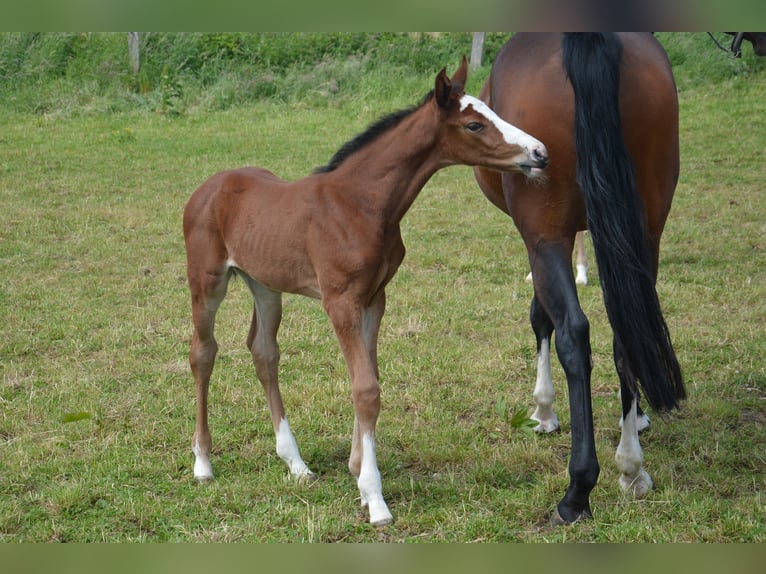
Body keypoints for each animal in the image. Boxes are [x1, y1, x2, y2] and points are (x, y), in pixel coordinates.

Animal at [183, 57, 548, 528]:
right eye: (473, 124)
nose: (540, 153)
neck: (362, 204)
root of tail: (207, 187)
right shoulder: (340, 300)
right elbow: (365, 389)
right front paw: (374, 497)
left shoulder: (375, 297)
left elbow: (369, 378)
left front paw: (358, 471)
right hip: (207, 281)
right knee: (203, 353)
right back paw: (203, 463)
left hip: (264, 284)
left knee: (263, 352)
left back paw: (295, 464)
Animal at [476, 32, 688, 528]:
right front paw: (639, 417)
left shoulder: (540, 239)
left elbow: (541, 317)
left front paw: (544, 409)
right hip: (645, 229)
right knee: (628, 332)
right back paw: (632, 468)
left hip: (546, 230)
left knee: (574, 333)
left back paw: (578, 491)